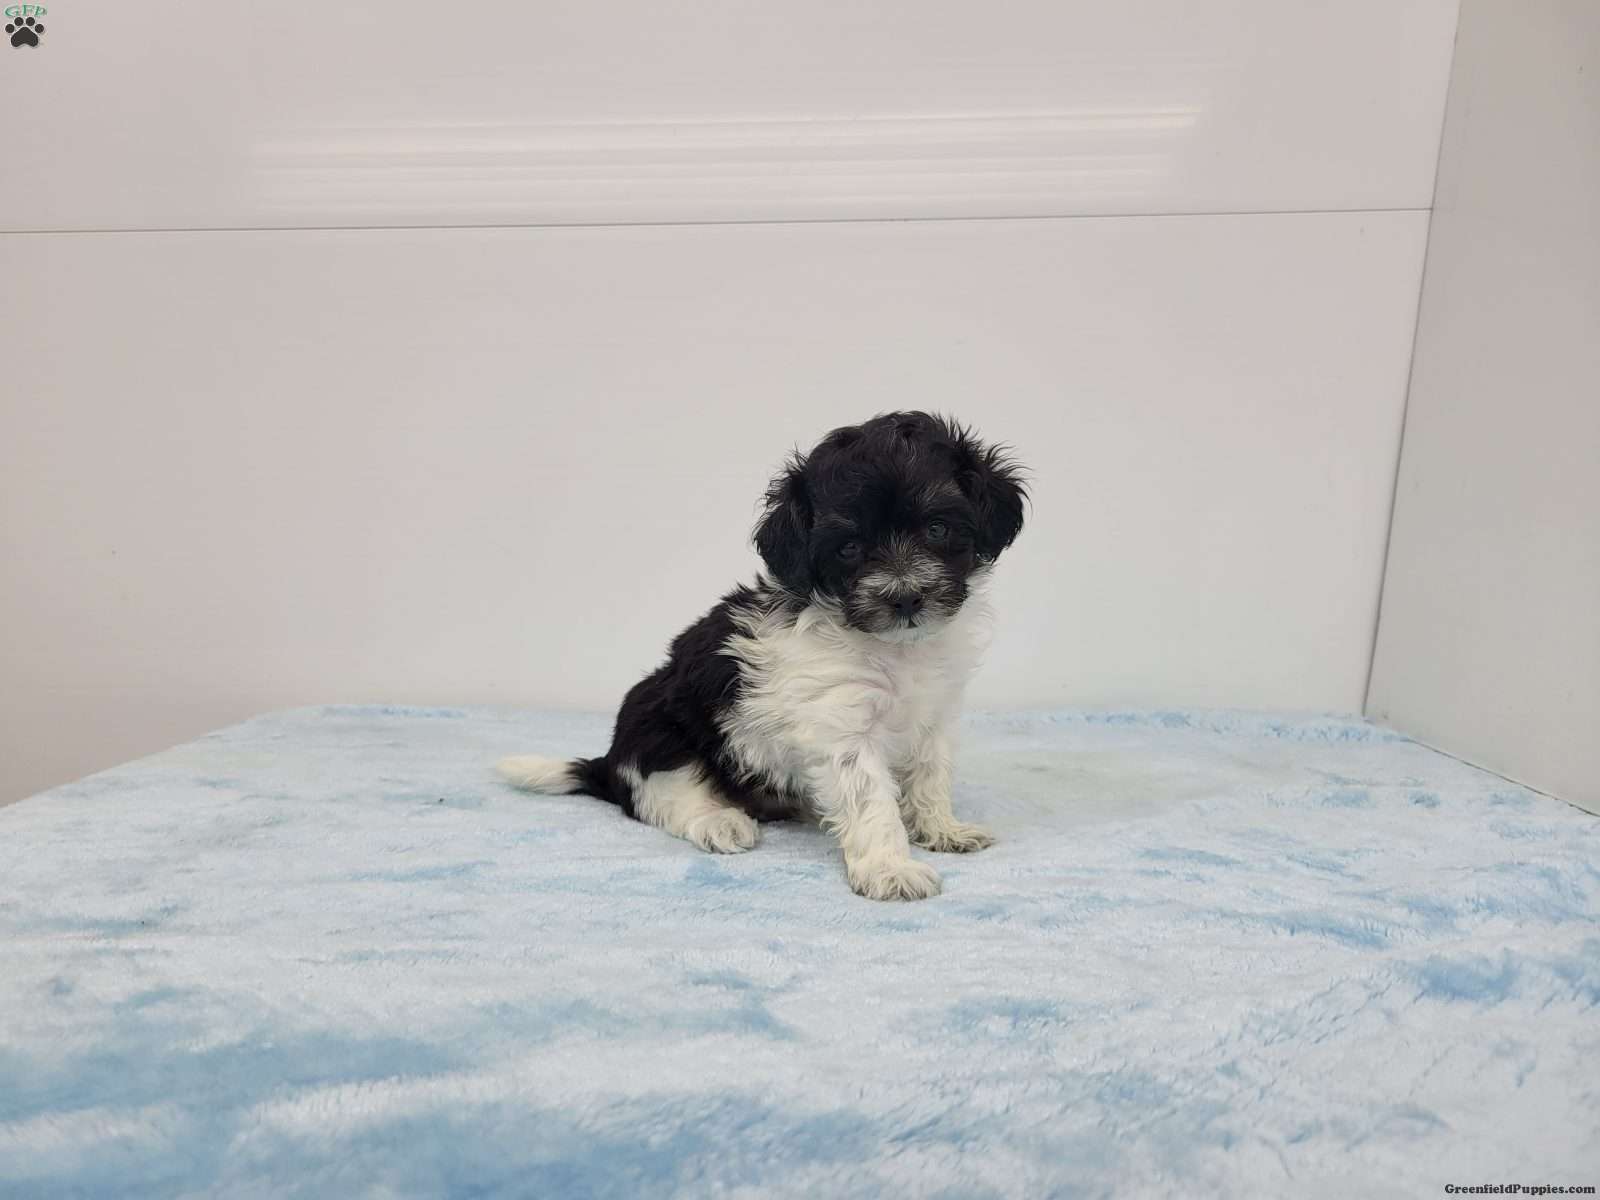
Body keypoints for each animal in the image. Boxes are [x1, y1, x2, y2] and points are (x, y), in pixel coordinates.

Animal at [497, 411, 1027, 900]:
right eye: (849, 548)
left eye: (937, 528)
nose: (906, 598)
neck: (895, 648)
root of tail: (606, 763)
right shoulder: (843, 729)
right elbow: (870, 799)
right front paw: (889, 868)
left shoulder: (934, 714)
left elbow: (930, 774)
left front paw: (942, 829)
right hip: (657, 732)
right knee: (664, 797)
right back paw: (719, 821)